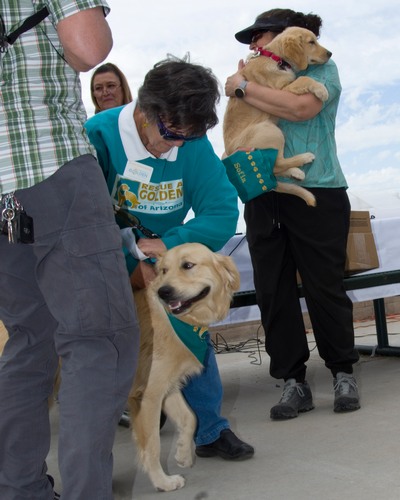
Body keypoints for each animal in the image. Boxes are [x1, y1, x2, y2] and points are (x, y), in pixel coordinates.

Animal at [129, 242, 240, 491]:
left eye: (187, 265)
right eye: (163, 271)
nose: (164, 292)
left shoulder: (168, 386)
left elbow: (191, 418)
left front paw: (183, 454)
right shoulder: (149, 395)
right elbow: (152, 445)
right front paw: (162, 482)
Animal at [223, 26, 332, 206]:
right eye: (311, 42)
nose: (330, 54)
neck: (276, 58)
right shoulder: (281, 90)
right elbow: (303, 78)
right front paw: (321, 89)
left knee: (273, 166)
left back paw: (295, 172)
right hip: (270, 130)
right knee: (277, 162)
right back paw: (304, 158)